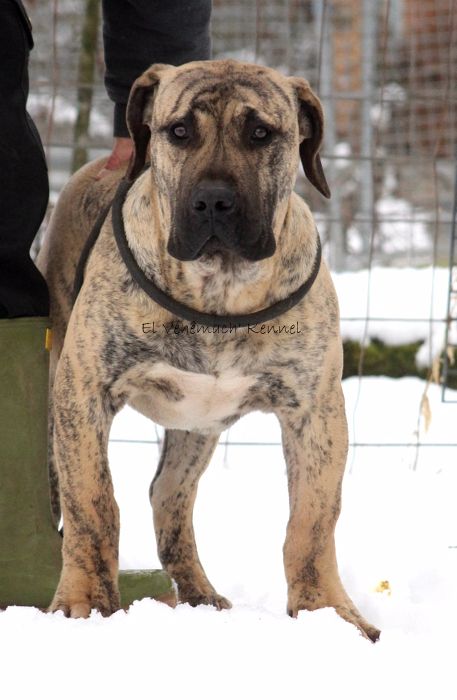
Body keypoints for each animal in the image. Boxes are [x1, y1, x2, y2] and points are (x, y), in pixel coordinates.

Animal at [37, 59, 380, 641]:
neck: (220, 287)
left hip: (197, 429)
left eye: (260, 133)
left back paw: (200, 595)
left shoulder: (315, 410)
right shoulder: (84, 394)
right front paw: (85, 603)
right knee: (69, 487)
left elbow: (312, 520)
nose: (214, 200)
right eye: (178, 132)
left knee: (169, 498)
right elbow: (94, 503)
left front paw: (327, 613)